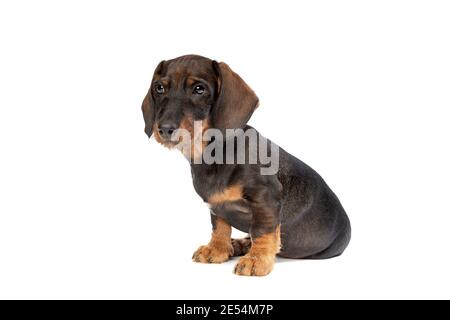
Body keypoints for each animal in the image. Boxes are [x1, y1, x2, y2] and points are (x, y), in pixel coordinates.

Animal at [141, 54, 352, 276]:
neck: (215, 153)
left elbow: (262, 231)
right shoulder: (217, 206)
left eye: (199, 89)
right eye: (159, 88)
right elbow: (220, 226)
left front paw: (256, 260)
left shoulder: (265, 199)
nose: (165, 129)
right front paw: (217, 249)